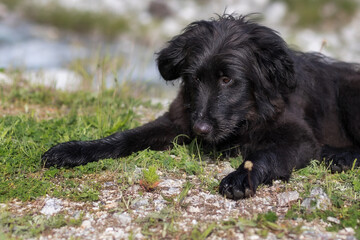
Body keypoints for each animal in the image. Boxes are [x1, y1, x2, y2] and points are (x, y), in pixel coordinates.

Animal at [43, 14, 360, 200]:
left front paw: (240, 176)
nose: (201, 129)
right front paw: (74, 150)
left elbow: (262, 154)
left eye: (227, 79)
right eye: (195, 78)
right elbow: (126, 137)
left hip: (349, 94)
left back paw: (339, 156)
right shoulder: (177, 120)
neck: (246, 117)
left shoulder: (299, 137)